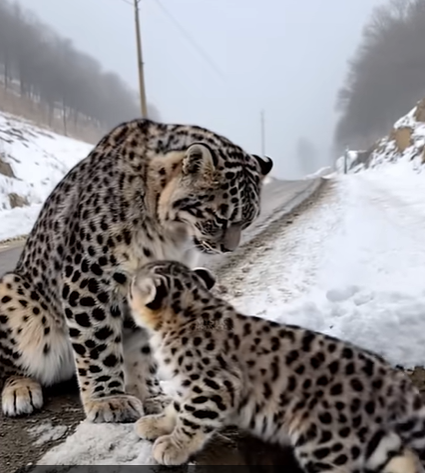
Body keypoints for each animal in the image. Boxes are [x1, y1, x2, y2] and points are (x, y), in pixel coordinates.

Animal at [0, 118, 273, 423]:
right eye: (218, 218)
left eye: (247, 221)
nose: (228, 248)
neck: (170, 236)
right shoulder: (91, 277)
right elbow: (97, 342)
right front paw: (109, 400)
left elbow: (141, 348)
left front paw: (151, 395)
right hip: (13, 294)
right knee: (9, 364)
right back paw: (20, 391)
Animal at [129, 260, 425, 473]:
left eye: (133, 283)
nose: (126, 281)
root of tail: (386, 374)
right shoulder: (187, 384)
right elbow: (176, 407)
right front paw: (155, 424)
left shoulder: (211, 385)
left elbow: (192, 419)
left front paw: (173, 447)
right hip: (363, 438)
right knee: (403, 457)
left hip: (323, 442)